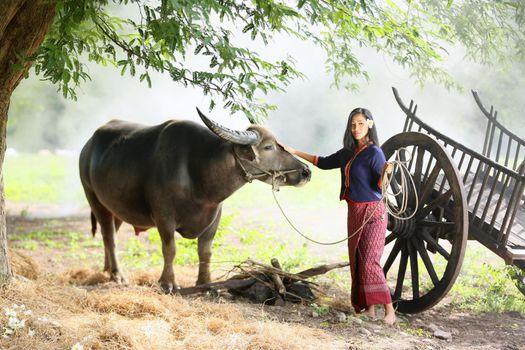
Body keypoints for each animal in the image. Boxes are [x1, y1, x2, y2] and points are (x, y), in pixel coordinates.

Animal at [77, 108, 308, 292]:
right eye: (268, 147)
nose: (306, 171)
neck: (199, 174)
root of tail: (87, 147)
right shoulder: (164, 216)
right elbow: (170, 249)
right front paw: (168, 283)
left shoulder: (215, 216)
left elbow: (205, 251)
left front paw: (205, 283)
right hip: (93, 198)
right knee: (109, 238)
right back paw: (117, 275)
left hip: (115, 208)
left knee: (111, 235)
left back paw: (107, 269)